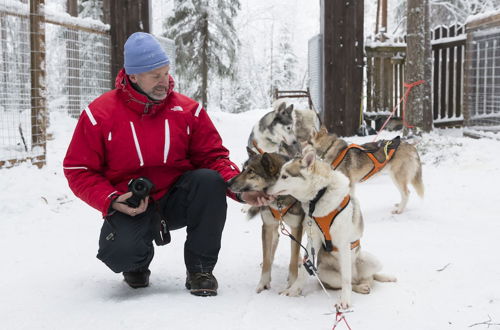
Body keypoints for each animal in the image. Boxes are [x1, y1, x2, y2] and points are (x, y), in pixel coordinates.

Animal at [228, 148, 304, 292]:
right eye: (243, 169)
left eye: (251, 171)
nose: (227, 182)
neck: (279, 199)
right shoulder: (267, 226)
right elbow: (267, 259)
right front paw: (263, 283)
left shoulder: (297, 227)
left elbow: (293, 258)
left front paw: (292, 284)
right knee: (275, 239)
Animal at [266, 148, 394, 308]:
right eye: (279, 175)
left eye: (284, 176)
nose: (266, 189)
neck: (319, 196)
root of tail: (358, 277)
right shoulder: (313, 240)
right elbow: (303, 271)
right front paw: (293, 291)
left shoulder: (343, 244)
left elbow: (346, 280)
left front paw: (345, 301)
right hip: (322, 271)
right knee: (353, 282)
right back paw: (361, 287)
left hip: (372, 261)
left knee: (364, 278)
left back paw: (375, 280)